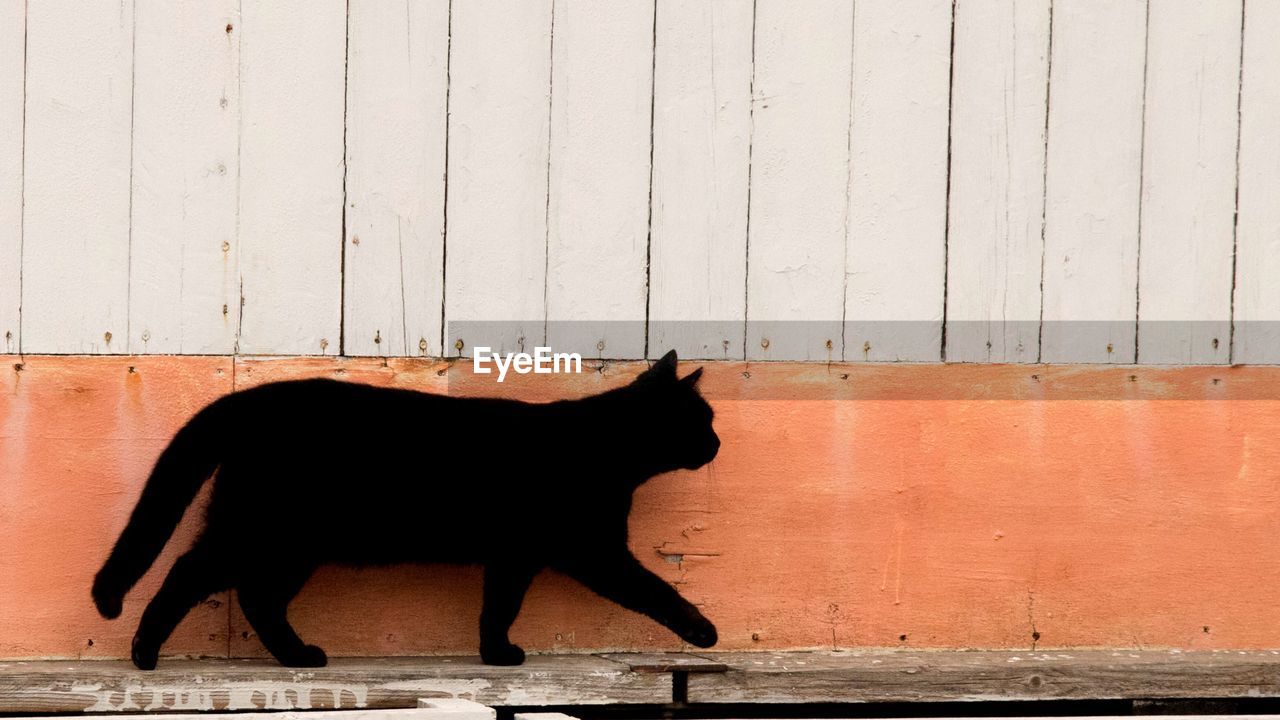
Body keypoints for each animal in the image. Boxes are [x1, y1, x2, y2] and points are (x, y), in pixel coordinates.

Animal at [92, 348, 721, 666]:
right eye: (703, 419)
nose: (718, 444)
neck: (608, 448)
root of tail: (250, 399)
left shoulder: (515, 555)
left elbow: (499, 607)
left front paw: (495, 653)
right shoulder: (595, 551)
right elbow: (655, 589)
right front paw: (703, 631)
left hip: (291, 546)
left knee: (256, 597)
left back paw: (296, 655)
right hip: (263, 532)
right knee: (190, 572)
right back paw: (145, 651)